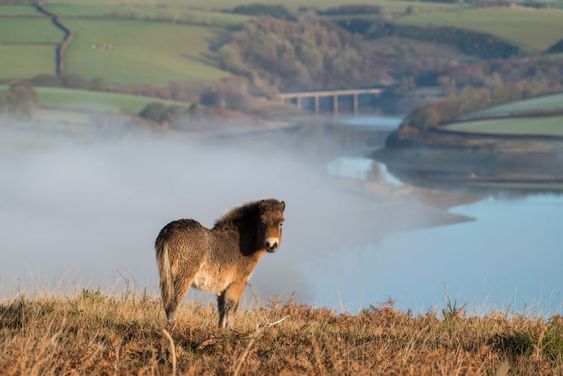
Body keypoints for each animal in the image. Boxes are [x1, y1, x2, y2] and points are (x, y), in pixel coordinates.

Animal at [155, 200, 284, 326]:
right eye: (262, 222)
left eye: (281, 223)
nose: (272, 245)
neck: (241, 241)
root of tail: (168, 231)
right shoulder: (237, 282)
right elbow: (231, 308)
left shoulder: (223, 287)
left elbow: (222, 311)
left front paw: (221, 329)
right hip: (182, 278)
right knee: (173, 305)